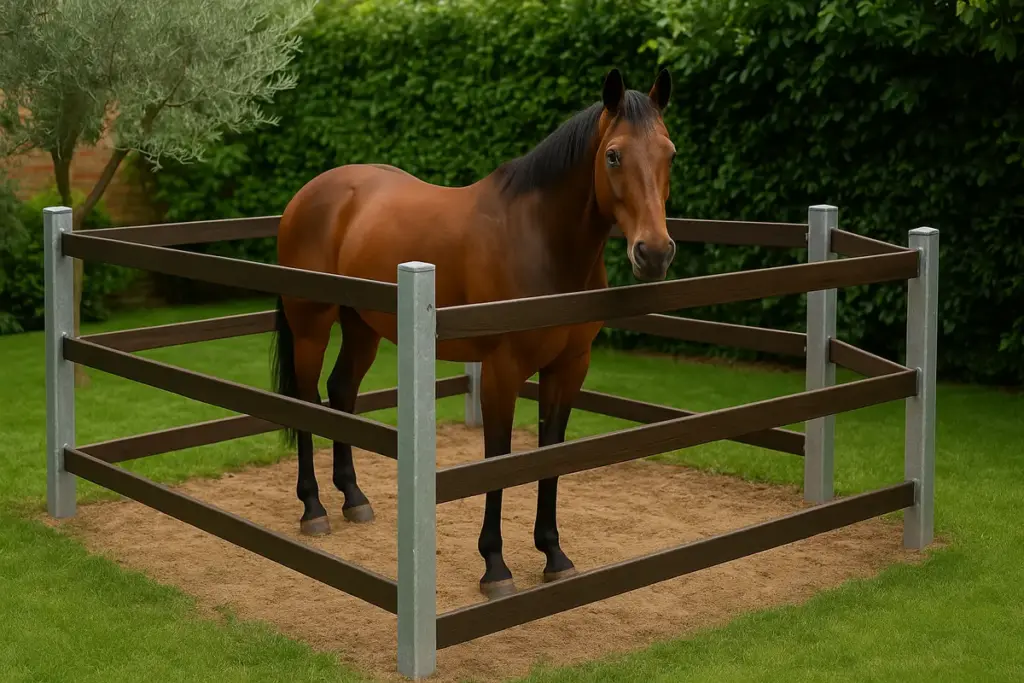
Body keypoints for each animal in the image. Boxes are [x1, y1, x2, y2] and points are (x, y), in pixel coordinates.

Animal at [272, 68, 678, 598]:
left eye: (670, 153)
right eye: (613, 155)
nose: (654, 253)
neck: (541, 240)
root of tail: (306, 195)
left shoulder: (568, 370)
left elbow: (550, 455)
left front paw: (553, 554)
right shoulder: (502, 373)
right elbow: (498, 460)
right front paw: (495, 566)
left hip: (362, 328)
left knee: (341, 393)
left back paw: (354, 499)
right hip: (311, 327)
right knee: (305, 402)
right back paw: (314, 508)